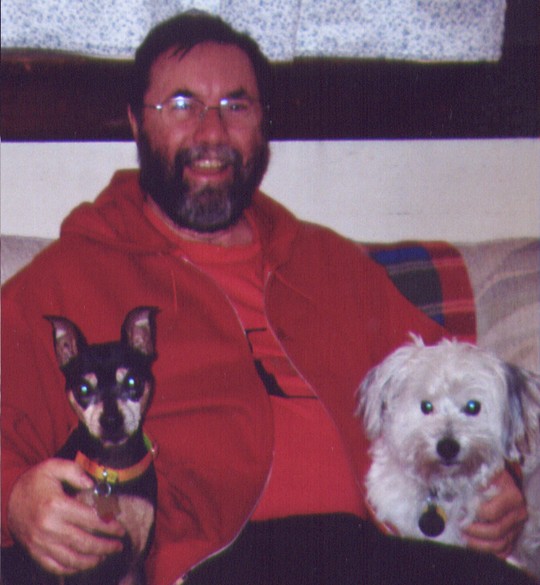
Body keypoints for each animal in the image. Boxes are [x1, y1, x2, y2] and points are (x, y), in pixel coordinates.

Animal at [6, 306, 159, 585]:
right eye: (84, 389)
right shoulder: (66, 562)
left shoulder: (133, 564)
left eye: (133, 382)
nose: (111, 420)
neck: (111, 469)